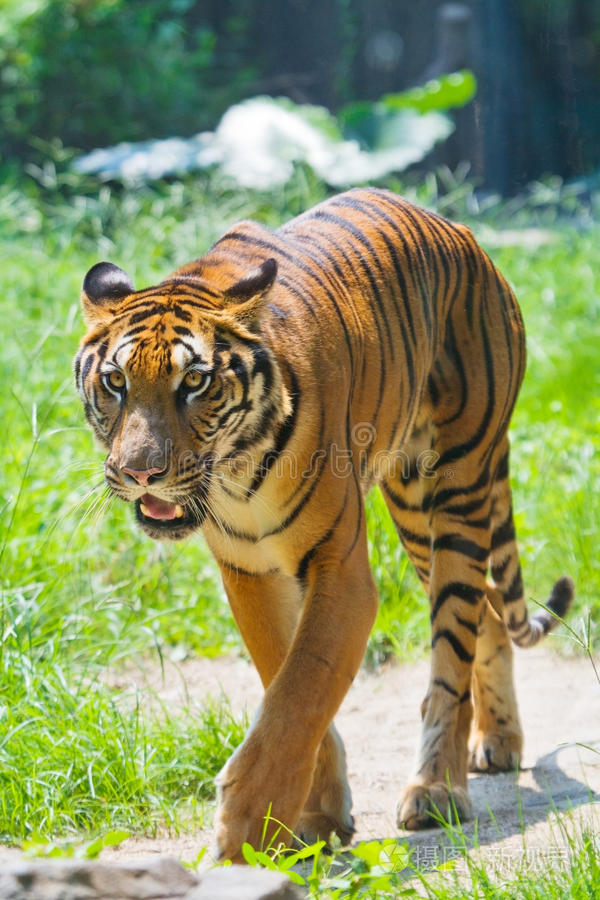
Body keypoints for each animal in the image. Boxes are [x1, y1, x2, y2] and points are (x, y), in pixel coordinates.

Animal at [74, 187, 573, 862]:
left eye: (195, 381)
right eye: (116, 381)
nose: (140, 473)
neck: (236, 472)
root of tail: (464, 233)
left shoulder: (340, 569)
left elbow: (301, 690)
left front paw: (245, 833)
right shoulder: (250, 569)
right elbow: (284, 679)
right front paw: (315, 815)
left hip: (460, 486)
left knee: (452, 647)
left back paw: (437, 791)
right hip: (414, 512)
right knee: (488, 611)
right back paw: (498, 742)